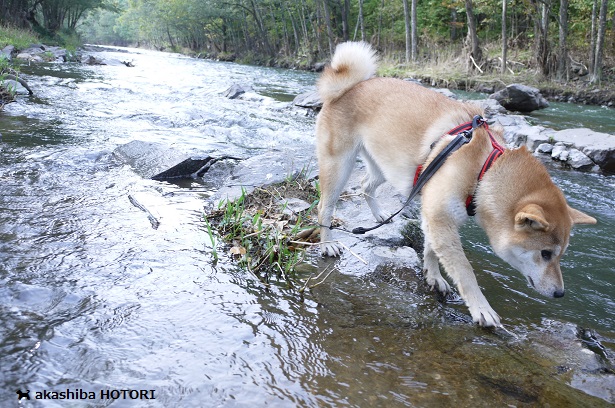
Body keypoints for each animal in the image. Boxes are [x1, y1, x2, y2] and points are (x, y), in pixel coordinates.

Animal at [318, 42, 596, 328]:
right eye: (545, 253)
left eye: (561, 254)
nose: (560, 293)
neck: (484, 168)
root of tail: (348, 88)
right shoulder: (441, 218)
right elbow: (464, 270)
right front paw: (481, 307)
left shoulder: (434, 214)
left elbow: (431, 250)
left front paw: (433, 276)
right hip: (339, 166)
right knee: (324, 206)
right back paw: (327, 242)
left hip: (386, 166)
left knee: (365, 185)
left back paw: (379, 215)